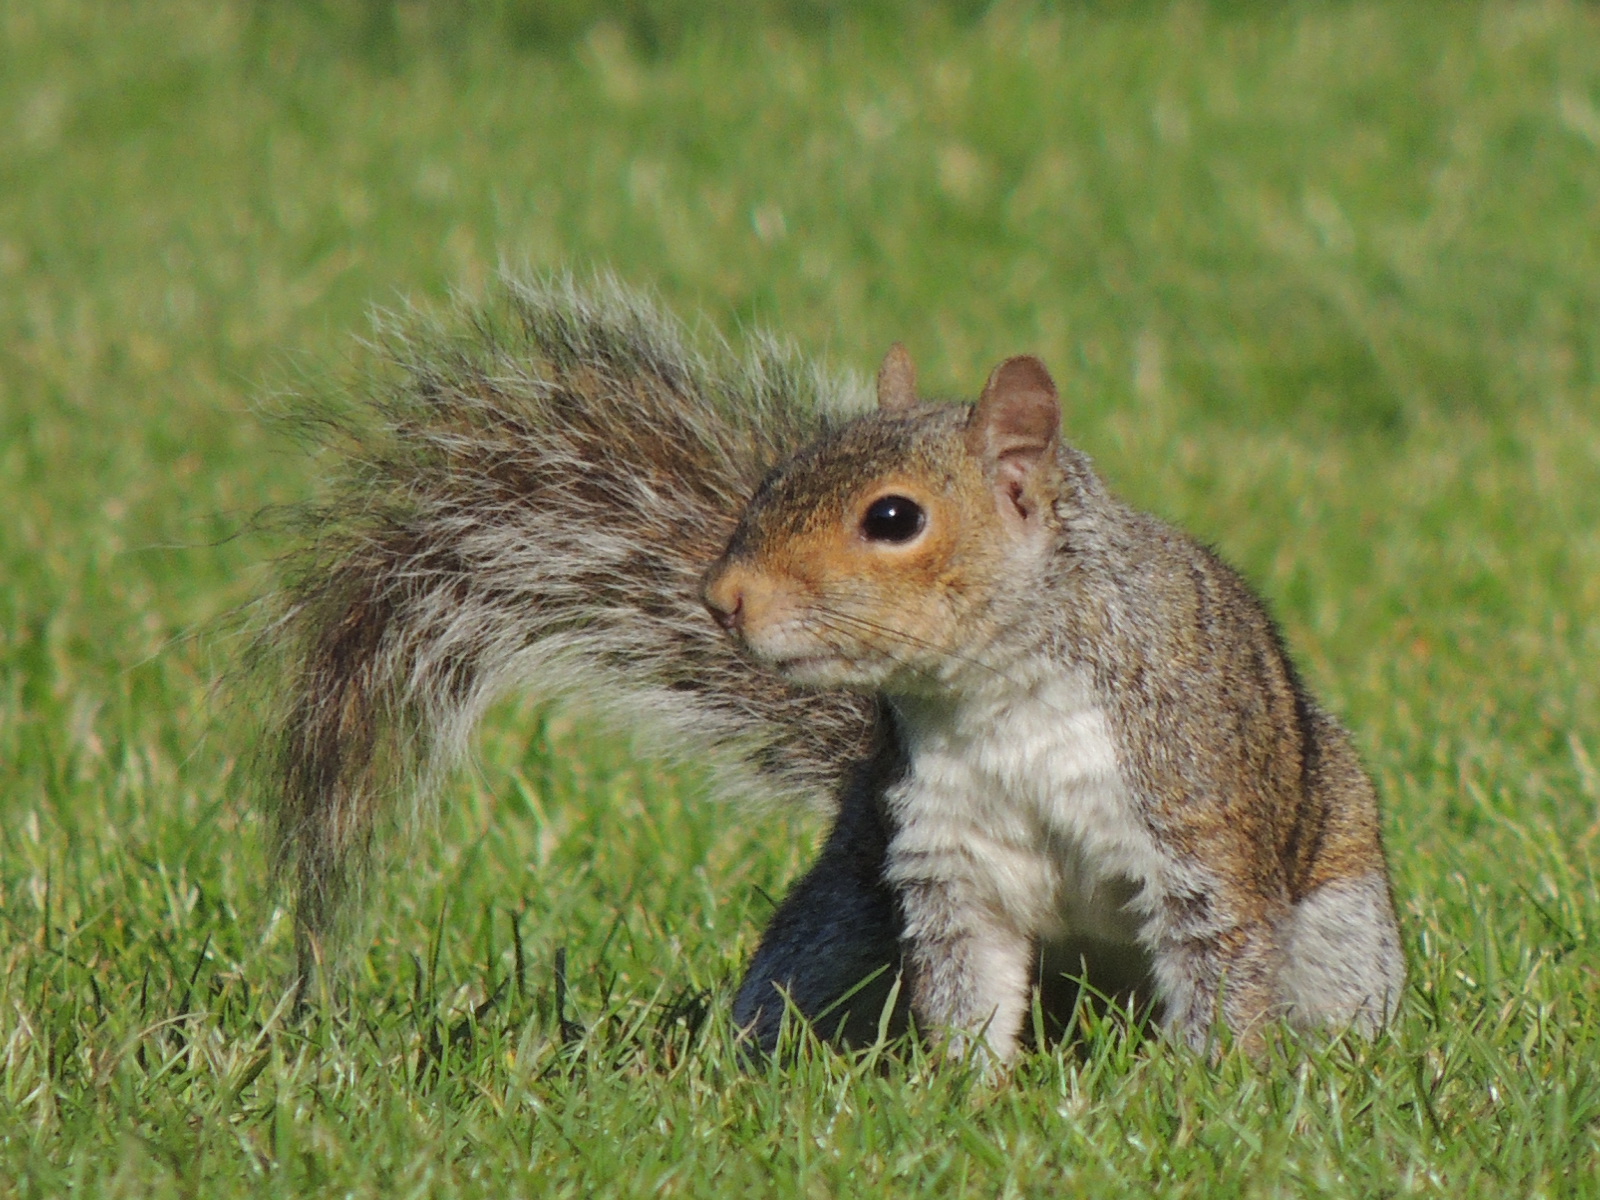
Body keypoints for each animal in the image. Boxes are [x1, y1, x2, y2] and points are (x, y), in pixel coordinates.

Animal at [257, 274, 1403, 1060]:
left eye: (893, 518)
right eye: (777, 478)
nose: (721, 596)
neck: (999, 694)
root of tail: (1090, 1002)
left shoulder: (1192, 812)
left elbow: (1220, 969)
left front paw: (1212, 1092)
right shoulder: (946, 858)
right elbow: (969, 988)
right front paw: (972, 1098)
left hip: (1340, 934)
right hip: (839, 918)